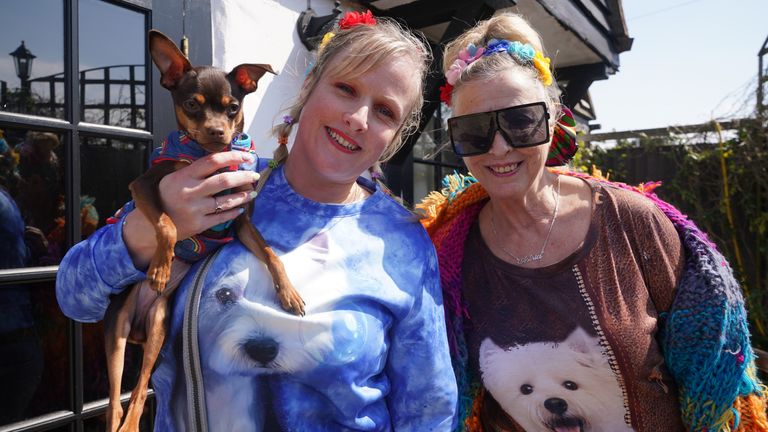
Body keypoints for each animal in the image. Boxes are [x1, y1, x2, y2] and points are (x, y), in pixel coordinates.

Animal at [101, 28, 304, 430]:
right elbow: (166, 223)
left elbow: (270, 253)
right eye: (192, 106)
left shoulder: (241, 221)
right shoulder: (145, 186)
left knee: (140, 386)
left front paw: (288, 292)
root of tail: (137, 328)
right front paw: (160, 268)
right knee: (115, 401)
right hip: (116, 333)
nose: (216, 130)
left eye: (232, 107)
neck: (209, 158)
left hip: (159, 327)